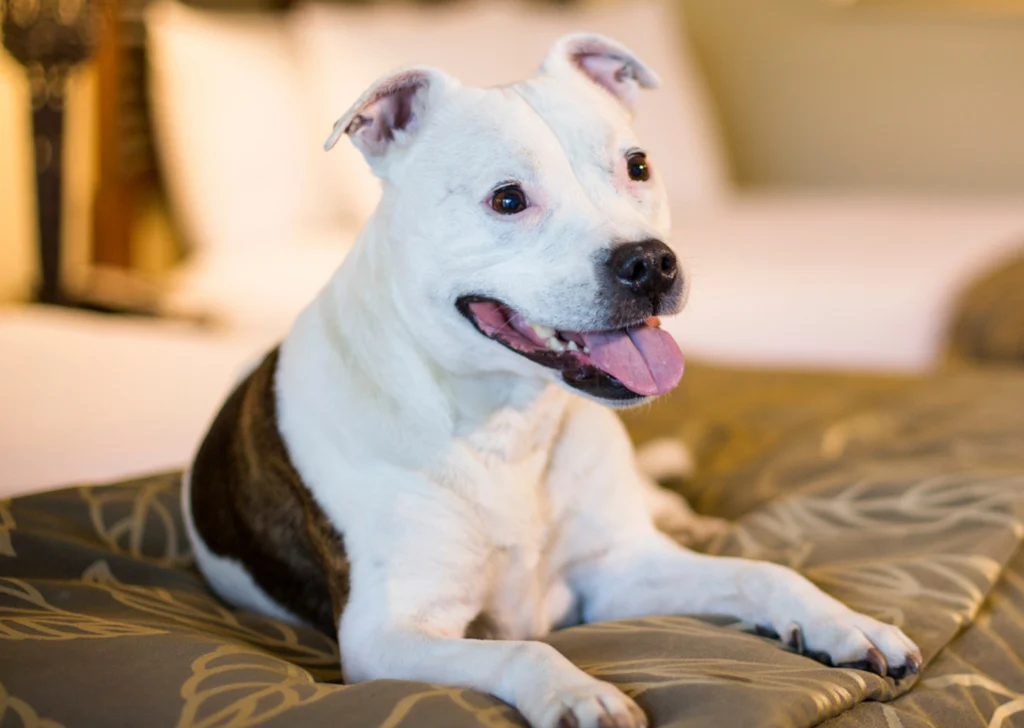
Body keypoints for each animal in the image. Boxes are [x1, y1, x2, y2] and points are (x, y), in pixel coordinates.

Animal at [182, 34, 921, 728]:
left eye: (638, 166)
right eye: (507, 199)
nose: (649, 262)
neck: (507, 423)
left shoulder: (620, 572)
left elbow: (765, 572)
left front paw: (842, 621)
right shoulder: (388, 634)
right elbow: (524, 648)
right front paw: (578, 693)